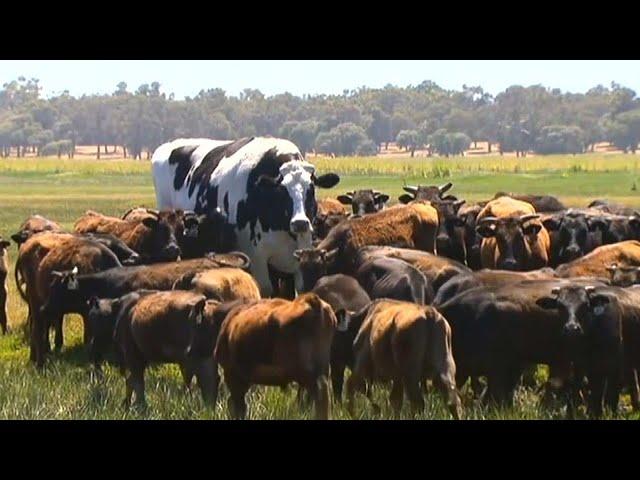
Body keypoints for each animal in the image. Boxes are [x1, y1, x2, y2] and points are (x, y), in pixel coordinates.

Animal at [151, 137, 340, 296]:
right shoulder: (256, 257)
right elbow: (265, 290)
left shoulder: (302, 253)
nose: (300, 222)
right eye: (282, 190)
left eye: (311, 189)